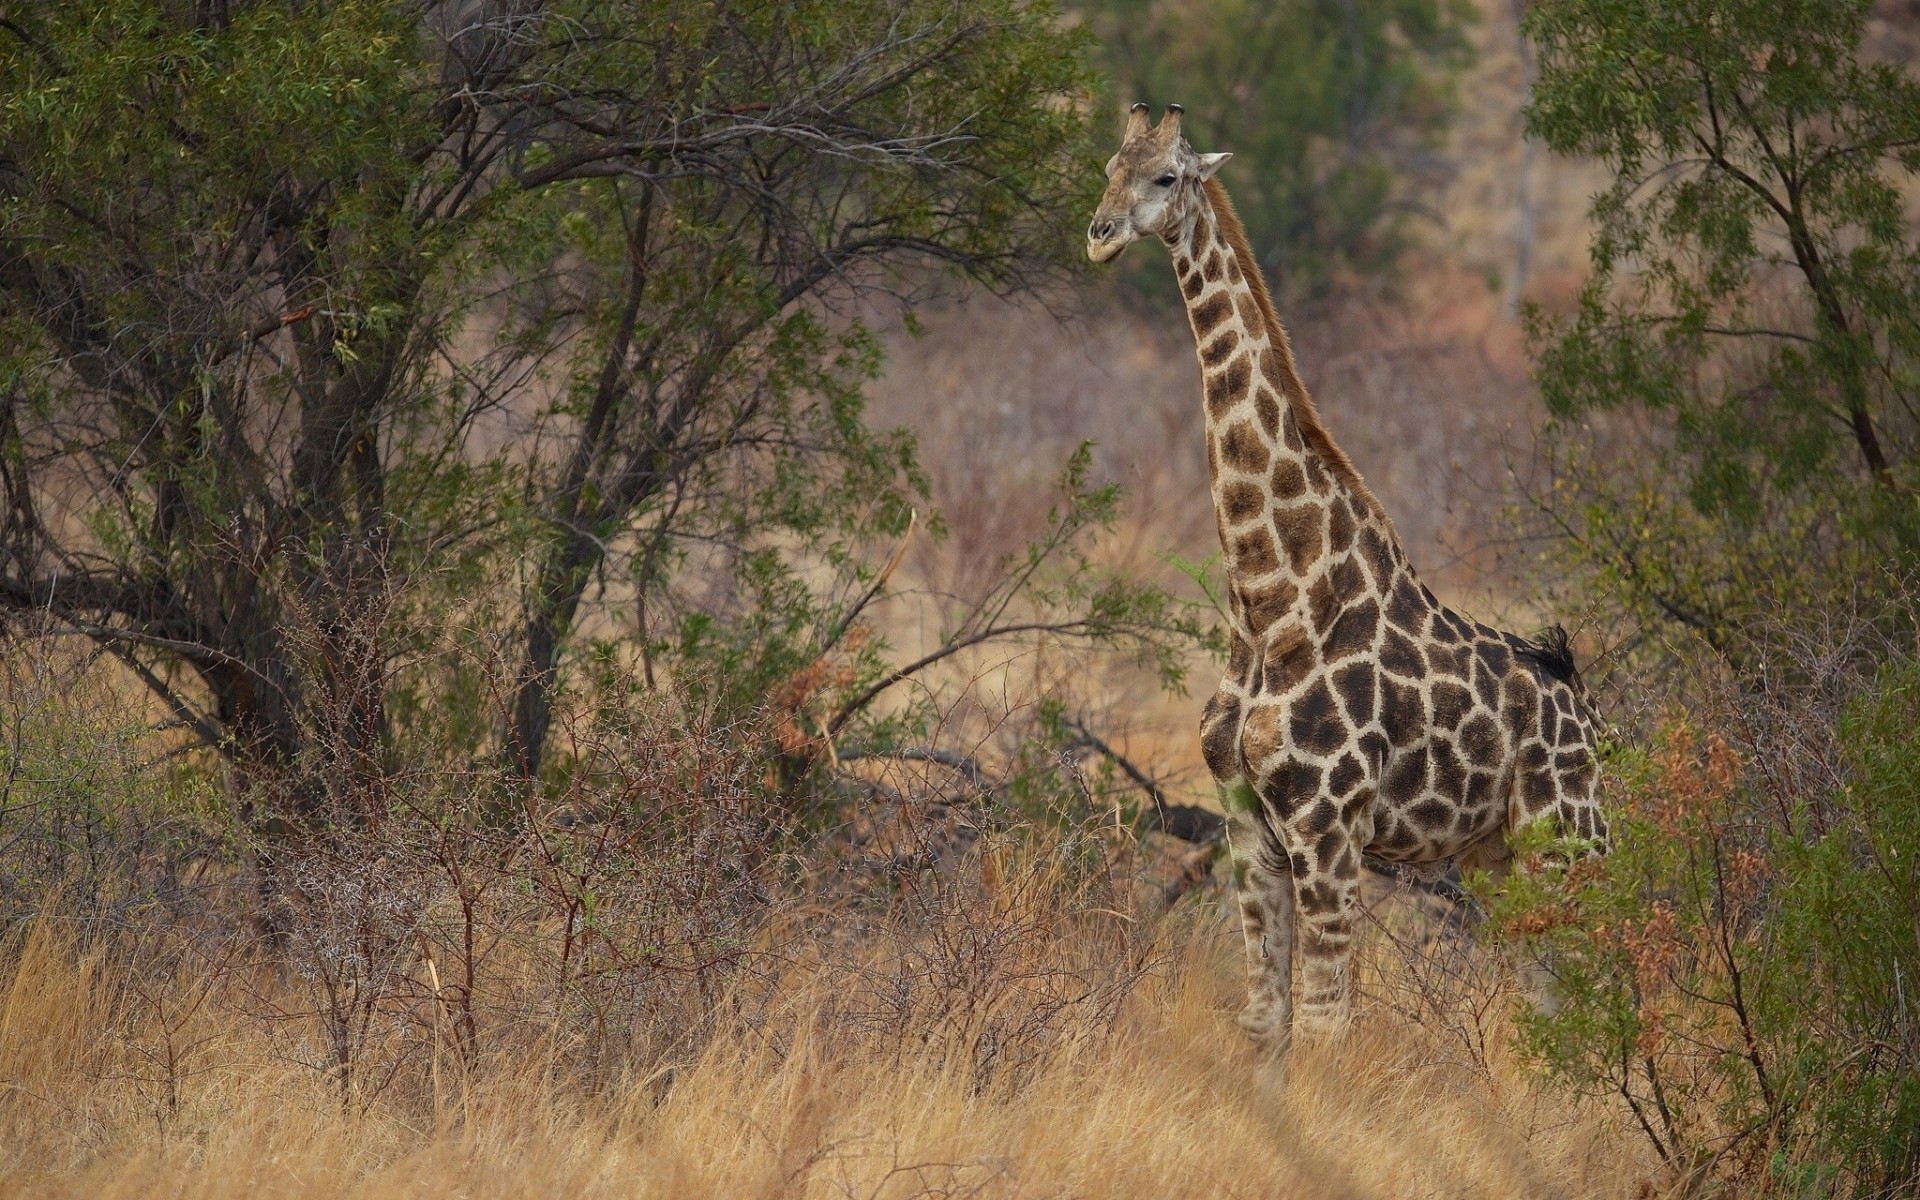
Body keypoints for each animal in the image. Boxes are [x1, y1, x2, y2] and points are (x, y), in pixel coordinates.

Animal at [1090, 105, 1612, 1044]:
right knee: (1547, 1001)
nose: (1100, 234)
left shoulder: (1327, 831)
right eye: (1109, 165)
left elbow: (1328, 1027)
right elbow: (1266, 1021)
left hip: (1571, 843)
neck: (1273, 600)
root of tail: (1594, 717)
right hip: (1497, 858)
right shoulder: (1249, 831)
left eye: (1167, 176)